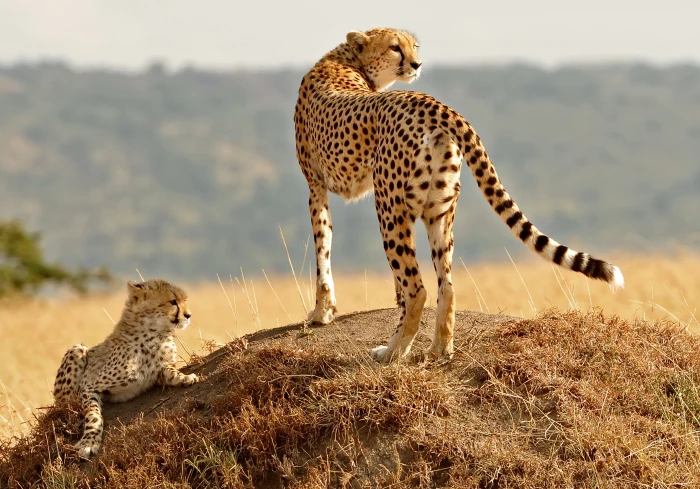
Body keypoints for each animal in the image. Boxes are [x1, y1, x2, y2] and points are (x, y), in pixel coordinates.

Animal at [52, 278, 199, 458]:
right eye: (173, 302)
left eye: (184, 300)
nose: (189, 315)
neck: (154, 335)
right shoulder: (88, 385)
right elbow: (94, 415)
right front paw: (89, 442)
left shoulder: (156, 372)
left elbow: (168, 370)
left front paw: (184, 377)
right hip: (77, 350)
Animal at [293, 27, 624, 363]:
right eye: (395, 47)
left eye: (414, 46)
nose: (417, 64)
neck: (347, 60)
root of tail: (429, 102)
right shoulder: (322, 185)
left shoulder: (315, 185)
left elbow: (322, 247)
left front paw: (321, 313)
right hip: (439, 209)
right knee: (447, 286)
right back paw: (440, 348)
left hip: (389, 207)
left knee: (418, 289)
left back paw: (392, 351)